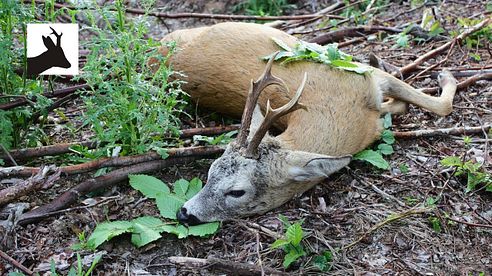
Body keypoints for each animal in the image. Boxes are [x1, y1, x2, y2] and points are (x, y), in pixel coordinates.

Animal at [154, 22, 458, 225]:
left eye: (237, 192)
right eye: (209, 173)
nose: (184, 213)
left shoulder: (366, 76)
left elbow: (439, 105)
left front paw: (444, 76)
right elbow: (428, 106)